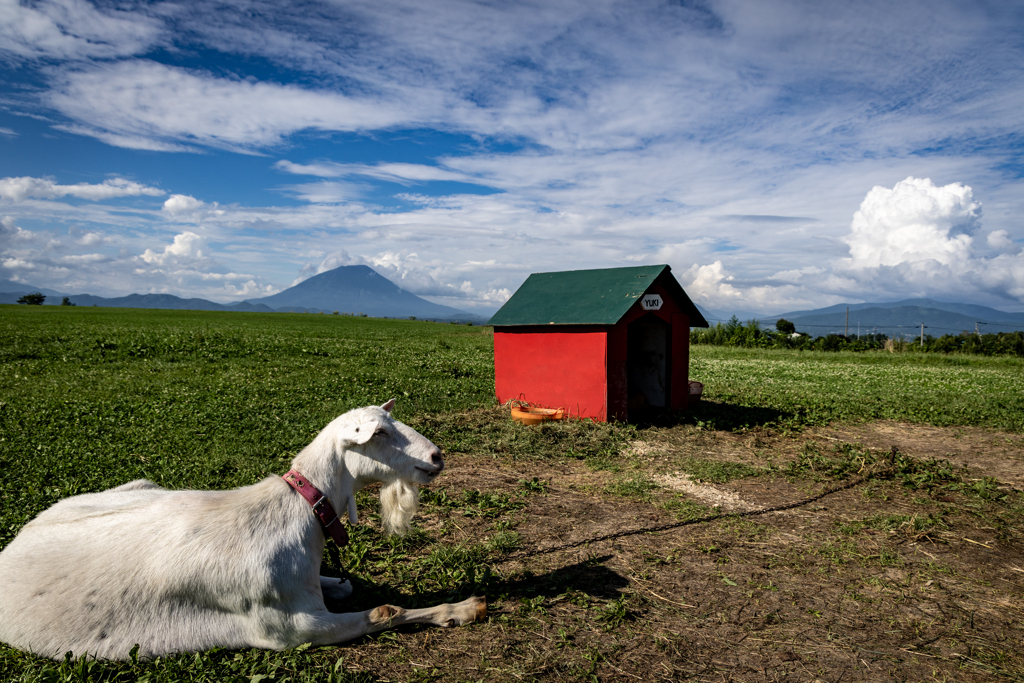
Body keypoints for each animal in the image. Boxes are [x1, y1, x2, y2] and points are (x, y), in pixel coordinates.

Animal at [0, 401, 485, 663]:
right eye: (380, 433)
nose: (437, 456)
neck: (301, 512)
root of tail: (14, 544)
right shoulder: (291, 628)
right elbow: (386, 611)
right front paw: (461, 608)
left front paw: (338, 581)